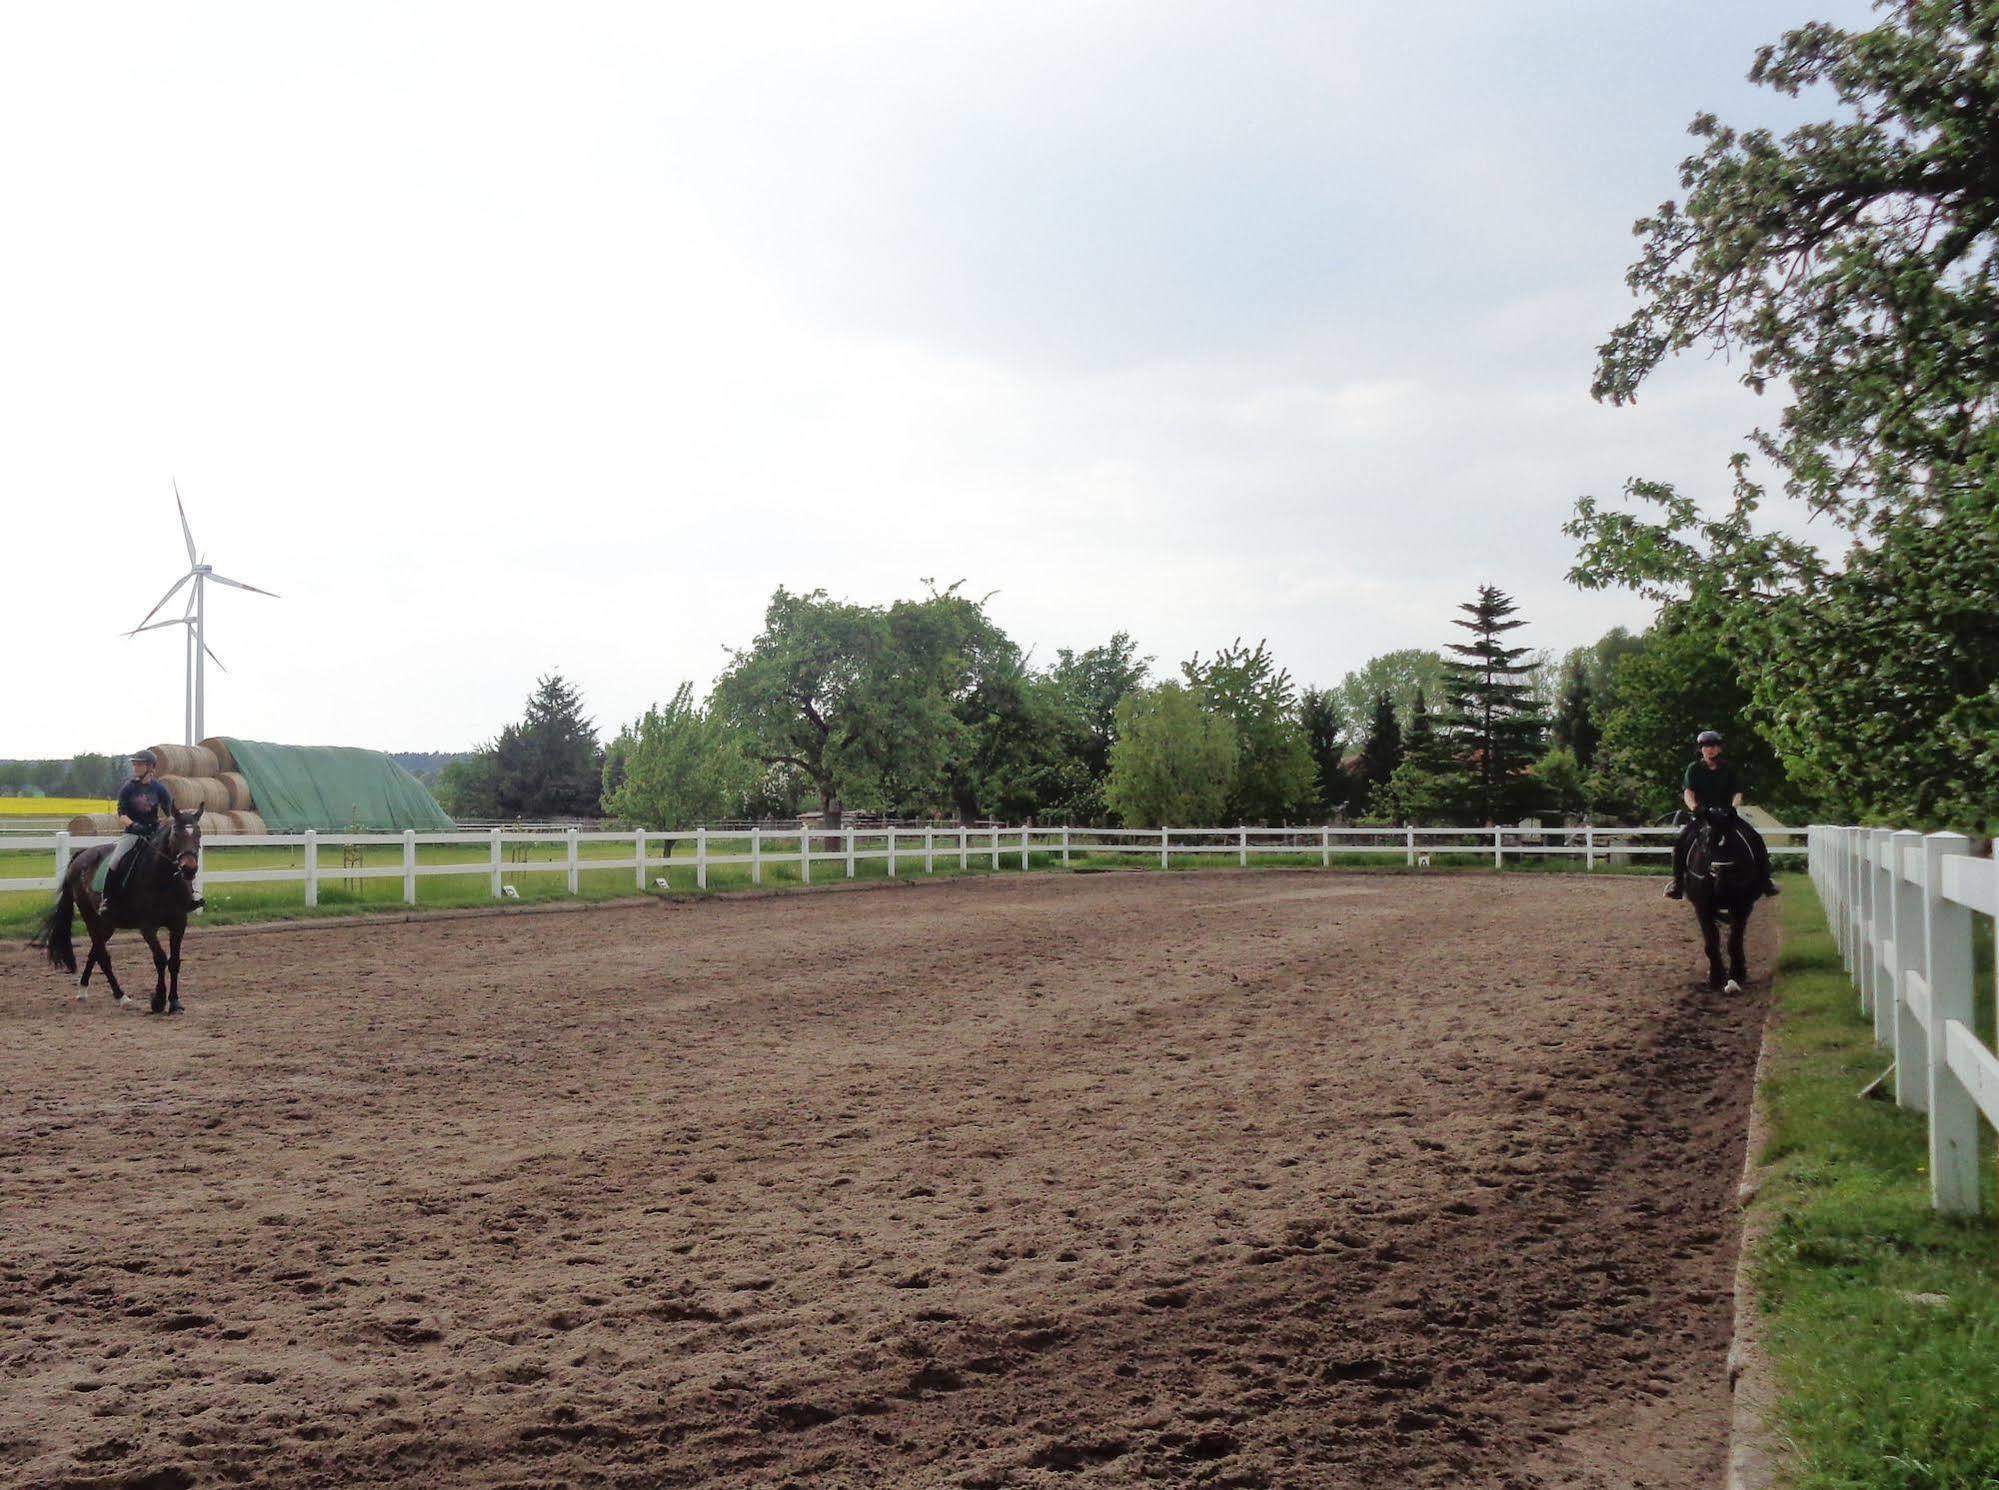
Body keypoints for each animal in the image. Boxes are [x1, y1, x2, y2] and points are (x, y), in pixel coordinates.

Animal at [30, 808, 202, 1016]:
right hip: (91, 917)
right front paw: (158, 1001)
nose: (189, 869)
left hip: (107, 924)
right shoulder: (147, 927)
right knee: (103, 957)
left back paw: (83, 990)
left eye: (198, 834)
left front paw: (175, 1002)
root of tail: (82, 854)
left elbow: (175, 961)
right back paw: (122, 997)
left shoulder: (178, 923)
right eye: (176, 834)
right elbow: (160, 959)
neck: (163, 879)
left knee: (95, 952)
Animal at [1687, 808, 1767, 992]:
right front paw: (1716, 977)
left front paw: (1736, 975)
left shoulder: (1742, 907)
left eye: (1733, 842)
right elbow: (1712, 942)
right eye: (1708, 843)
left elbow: (1734, 942)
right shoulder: (1702, 908)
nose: (1720, 873)